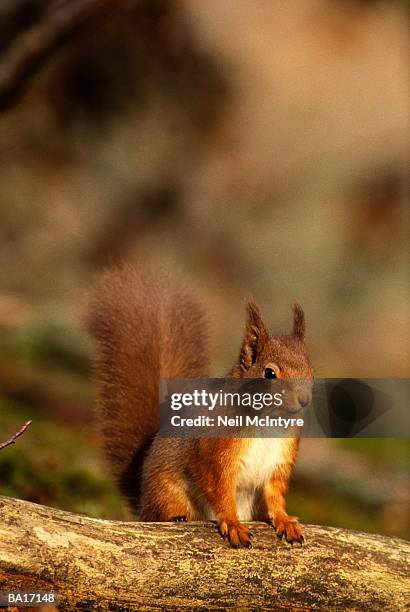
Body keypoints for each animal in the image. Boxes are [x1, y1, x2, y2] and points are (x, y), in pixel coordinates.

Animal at [88, 266, 314, 548]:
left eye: (310, 369)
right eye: (269, 373)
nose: (304, 399)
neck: (268, 421)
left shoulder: (279, 463)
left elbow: (275, 496)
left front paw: (285, 520)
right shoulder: (213, 453)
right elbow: (220, 490)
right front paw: (233, 524)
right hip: (166, 490)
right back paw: (174, 516)